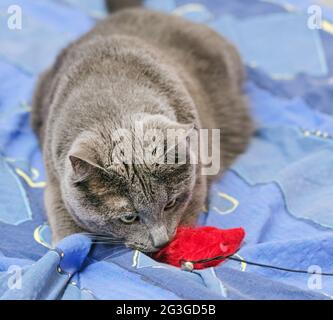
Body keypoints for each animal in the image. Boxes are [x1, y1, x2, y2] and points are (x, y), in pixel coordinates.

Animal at [32, 1, 253, 252]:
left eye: (170, 204)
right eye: (129, 218)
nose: (161, 241)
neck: (114, 109)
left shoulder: (197, 181)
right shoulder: (56, 183)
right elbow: (65, 224)